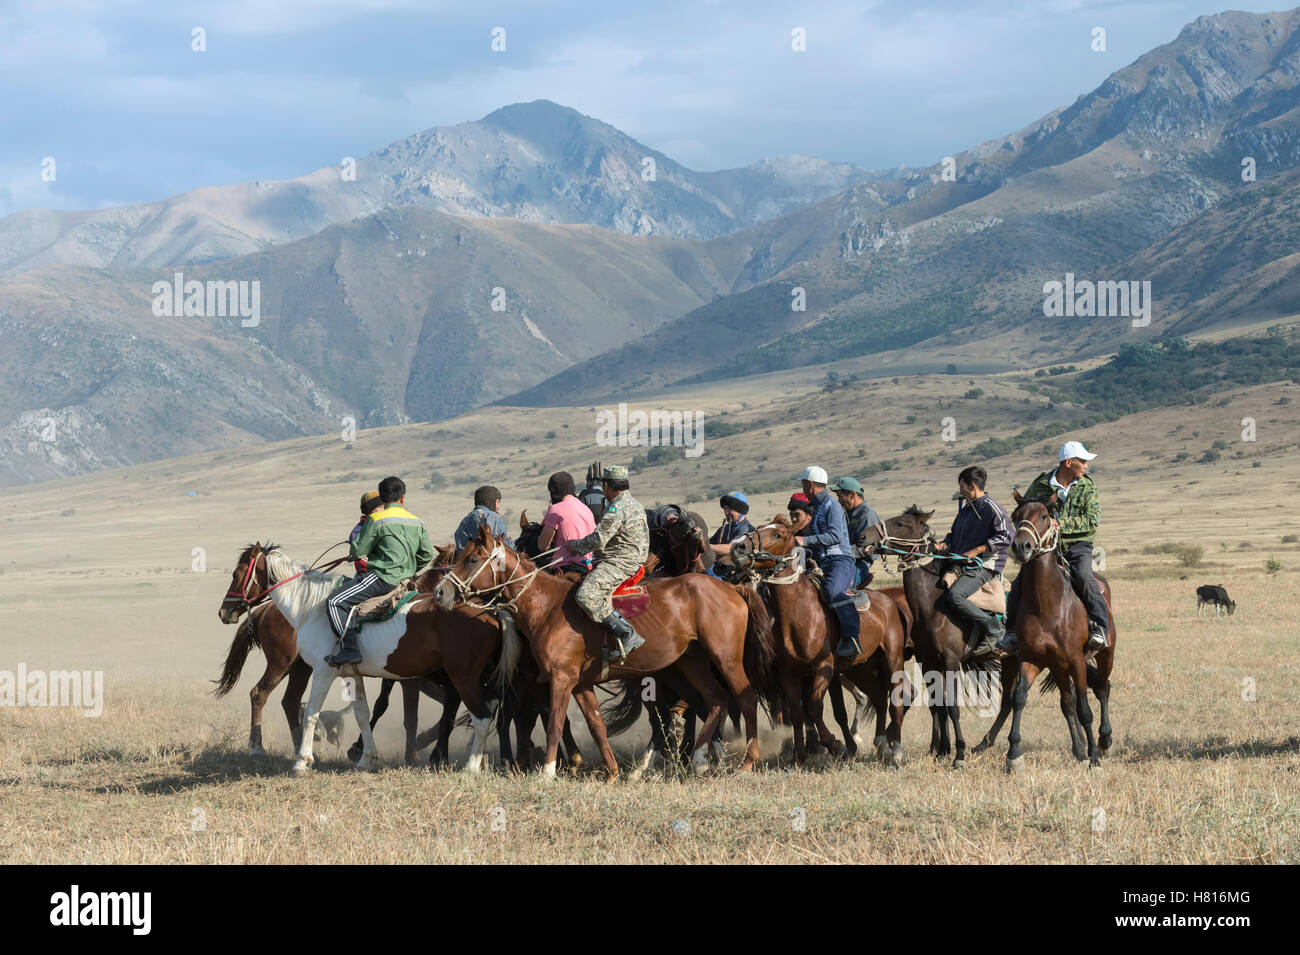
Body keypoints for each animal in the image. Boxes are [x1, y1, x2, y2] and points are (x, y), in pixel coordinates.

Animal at [220, 545, 504, 779]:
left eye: (237, 573)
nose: (224, 611)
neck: (312, 607)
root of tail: (490, 613)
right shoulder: (352, 673)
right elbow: (363, 713)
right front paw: (366, 757)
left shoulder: (325, 671)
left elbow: (313, 712)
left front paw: (302, 762)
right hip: (290, 666)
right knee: (275, 698)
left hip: (464, 678)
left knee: (482, 715)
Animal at [431, 527, 769, 779]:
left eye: (472, 559)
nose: (440, 592)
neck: (547, 606)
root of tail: (731, 588)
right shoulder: (581, 685)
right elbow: (596, 726)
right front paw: (613, 772)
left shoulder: (561, 680)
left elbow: (554, 722)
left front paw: (547, 772)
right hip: (693, 662)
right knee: (716, 700)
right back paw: (699, 759)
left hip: (726, 659)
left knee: (745, 698)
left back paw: (747, 762)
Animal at [733, 514, 915, 769]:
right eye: (759, 528)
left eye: (778, 534)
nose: (738, 547)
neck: (799, 615)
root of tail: (890, 602)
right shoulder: (789, 675)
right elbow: (797, 713)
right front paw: (799, 755)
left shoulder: (824, 668)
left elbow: (815, 708)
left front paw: (835, 745)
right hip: (862, 667)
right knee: (879, 698)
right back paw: (882, 745)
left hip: (892, 659)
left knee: (896, 699)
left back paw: (896, 750)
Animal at [857, 509, 998, 769]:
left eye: (900, 523)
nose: (862, 537)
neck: (934, 606)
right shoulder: (929, 660)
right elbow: (938, 705)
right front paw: (941, 750)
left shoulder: (951, 661)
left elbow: (952, 707)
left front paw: (959, 754)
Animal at [972, 504, 1112, 774]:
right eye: (1016, 516)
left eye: (1045, 515)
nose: (1021, 545)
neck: (1047, 604)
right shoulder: (1030, 659)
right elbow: (1019, 699)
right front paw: (1013, 755)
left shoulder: (1077, 660)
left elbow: (1084, 709)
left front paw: (1094, 759)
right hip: (1058, 666)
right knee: (1066, 702)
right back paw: (1080, 750)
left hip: (1103, 656)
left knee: (1102, 688)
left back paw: (1104, 740)